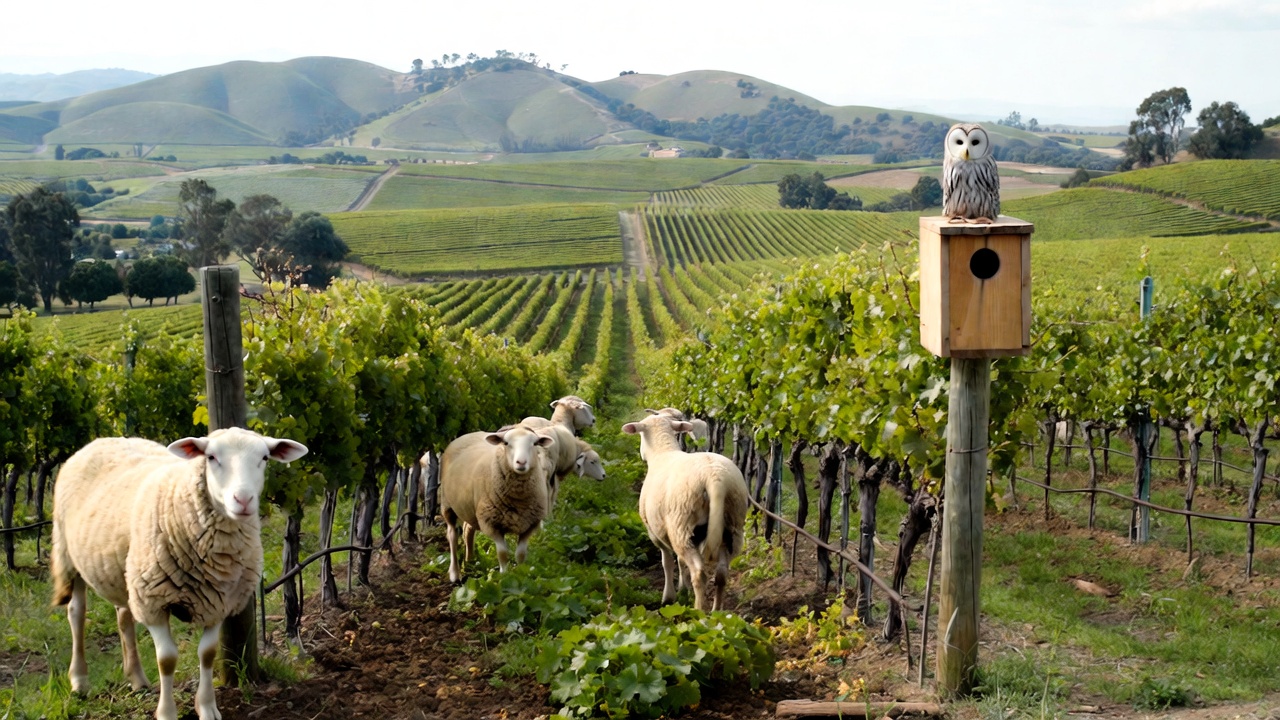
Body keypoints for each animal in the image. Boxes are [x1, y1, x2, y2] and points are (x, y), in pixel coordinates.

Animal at [51, 427, 308, 720]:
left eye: (264, 458)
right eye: (211, 457)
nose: (243, 500)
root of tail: (105, 440)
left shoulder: (218, 602)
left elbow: (207, 654)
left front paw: (207, 707)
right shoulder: (153, 601)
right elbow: (167, 660)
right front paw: (167, 712)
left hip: (125, 569)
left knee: (124, 616)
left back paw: (137, 678)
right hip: (69, 554)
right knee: (76, 613)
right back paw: (79, 680)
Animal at [438, 425, 553, 582]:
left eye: (535, 444)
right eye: (506, 443)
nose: (521, 463)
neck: (518, 499)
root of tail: (466, 435)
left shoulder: (530, 524)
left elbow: (521, 554)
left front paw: (521, 575)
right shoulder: (492, 524)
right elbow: (503, 554)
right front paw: (504, 577)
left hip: (473, 509)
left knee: (468, 530)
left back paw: (470, 561)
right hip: (447, 504)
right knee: (452, 535)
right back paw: (455, 573)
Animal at [622, 413, 748, 611]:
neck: (663, 452)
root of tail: (714, 478)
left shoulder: (655, 533)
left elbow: (667, 562)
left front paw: (669, 596)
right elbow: (681, 562)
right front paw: (683, 589)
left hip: (682, 525)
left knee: (699, 573)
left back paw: (699, 611)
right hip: (732, 527)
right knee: (721, 574)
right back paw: (716, 612)